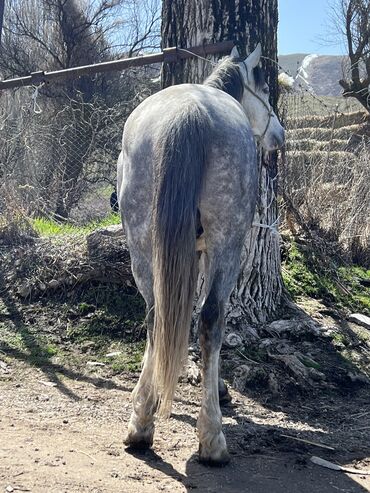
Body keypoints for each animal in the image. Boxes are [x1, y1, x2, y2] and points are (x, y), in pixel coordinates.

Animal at [117, 43, 284, 466]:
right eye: (264, 88)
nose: (279, 135)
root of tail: (188, 113)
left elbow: (181, 310)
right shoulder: (209, 251)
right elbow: (205, 317)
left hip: (141, 242)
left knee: (156, 314)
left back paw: (141, 424)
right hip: (228, 240)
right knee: (211, 319)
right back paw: (212, 439)